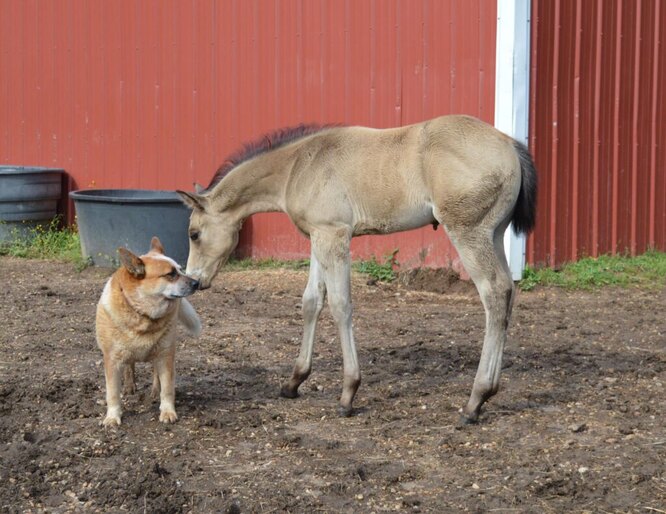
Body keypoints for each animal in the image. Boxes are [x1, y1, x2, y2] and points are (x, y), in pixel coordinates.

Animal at [95, 236, 200, 424]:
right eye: (171, 274)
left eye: (181, 270)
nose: (197, 283)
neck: (143, 315)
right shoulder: (112, 359)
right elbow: (112, 392)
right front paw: (113, 417)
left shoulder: (165, 355)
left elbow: (167, 388)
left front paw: (167, 411)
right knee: (129, 366)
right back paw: (130, 386)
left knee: (156, 374)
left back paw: (154, 391)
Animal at [179, 115, 536, 420]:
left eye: (194, 234)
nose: (194, 281)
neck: (299, 165)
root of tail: (509, 144)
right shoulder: (318, 236)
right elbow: (312, 302)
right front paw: (294, 381)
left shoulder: (334, 234)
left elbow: (340, 305)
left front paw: (348, 393)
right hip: (495, 234)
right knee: (507, 292)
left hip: (468, 233)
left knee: (493, 292)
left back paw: (476, 399)